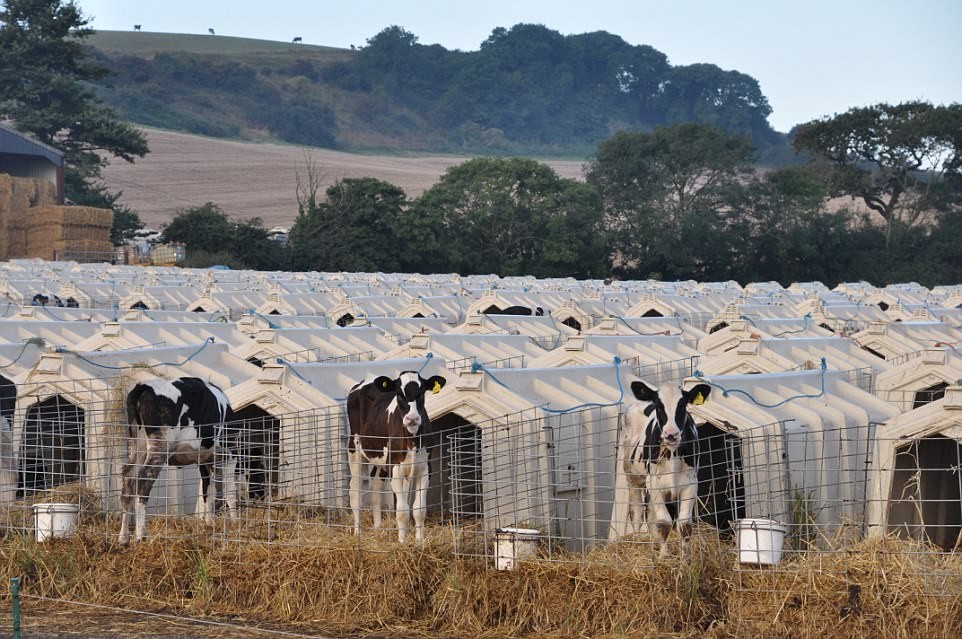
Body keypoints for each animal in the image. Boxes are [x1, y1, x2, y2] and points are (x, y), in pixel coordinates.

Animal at [348, 372, 446, 544]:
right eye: (399, 394)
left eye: (422, 392)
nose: (412, 419)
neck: (412, 439)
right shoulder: (395, 468)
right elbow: (401, 510)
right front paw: (402, 542)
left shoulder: (425, 469)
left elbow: (419, 509)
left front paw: (419, 542)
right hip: (355, 448)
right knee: (354, 491)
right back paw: (358, 533)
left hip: (381, 459)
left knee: (375, 485)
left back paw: (378, 527)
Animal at [620, 382, 708, 556]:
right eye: (659, 406)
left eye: (682, 405)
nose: (671, 434)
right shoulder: (654, 483)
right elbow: (664, 523)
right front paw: (664, 556)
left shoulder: (690, 484)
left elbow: (684, 524)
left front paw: (686, 559)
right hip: (633, 477)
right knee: (637, 512)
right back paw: (638, 541)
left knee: (651, 515)